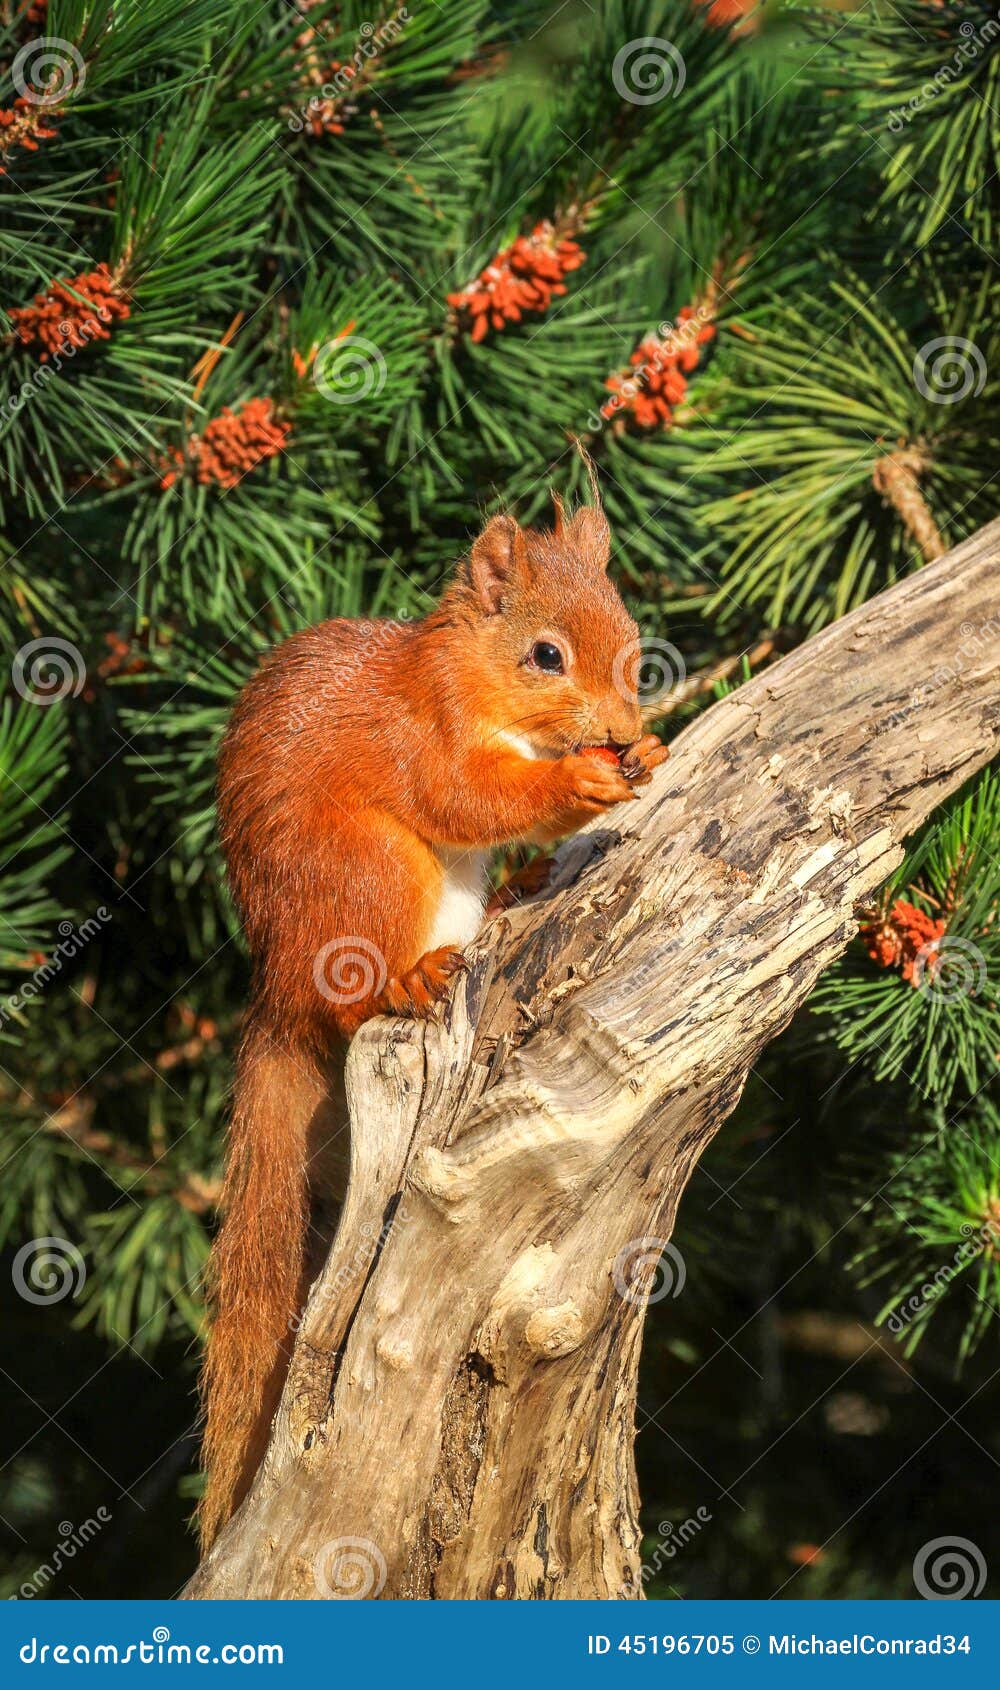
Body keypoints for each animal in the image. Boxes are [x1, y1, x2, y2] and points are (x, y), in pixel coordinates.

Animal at [198, 486, 668, 1548]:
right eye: (546, 655)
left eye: (631, 642)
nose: (623, 727)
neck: (468, 676)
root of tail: (277, 986)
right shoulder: (423, 735)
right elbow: (464, 796)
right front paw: (576, 782)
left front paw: (650, 751)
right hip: (369, 872)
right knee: (355, 988)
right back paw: (410, 981)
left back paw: (512, 897)